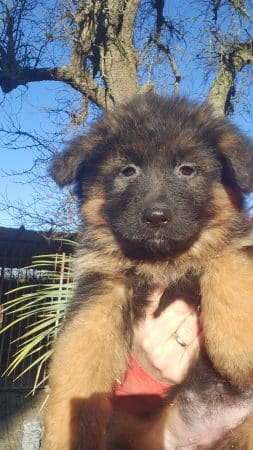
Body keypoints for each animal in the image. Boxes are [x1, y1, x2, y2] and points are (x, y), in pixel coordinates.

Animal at [43, 93, 253, 448]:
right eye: (128, 171)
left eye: (187, 170)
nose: (156, 217)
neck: (163, 260)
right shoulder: (102, 289)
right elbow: (78, 368)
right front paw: (65, 434)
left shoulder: (236, 240)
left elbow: (226, 258)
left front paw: (240, 348)